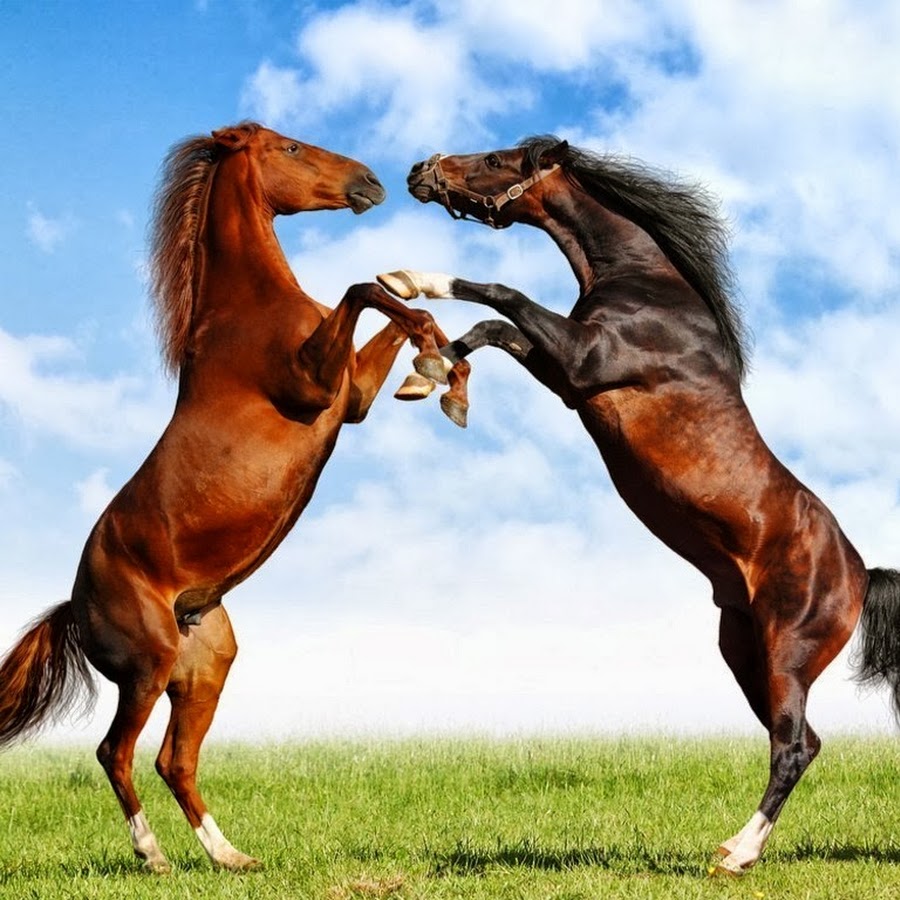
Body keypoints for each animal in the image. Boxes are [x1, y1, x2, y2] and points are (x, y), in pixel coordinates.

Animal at [0, 122, 470, 874]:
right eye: (292, 149)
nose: (371, 182)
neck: (246, 308)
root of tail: (74, 604)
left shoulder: (350, 400)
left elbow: (394, 309)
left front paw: (433, 369)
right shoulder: (314, 384)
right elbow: (361, 289)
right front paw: (434, 366)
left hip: (204, 669)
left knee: (173, 760)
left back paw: (229, 856)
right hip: (147, 666)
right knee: (115, 752)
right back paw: (154, 856)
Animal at [376, 136, 900, 875]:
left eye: (500, 158)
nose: (421, 171)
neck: (649, 291)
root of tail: (859, 574)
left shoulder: (584, 362)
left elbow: (501, 296)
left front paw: (409, 282)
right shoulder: (565, 375)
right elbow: (492, 329)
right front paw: (431, 379)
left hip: (789, 650)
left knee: (794, 746)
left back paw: (736, 854)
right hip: (744, 651)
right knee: (800, 741)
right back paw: (737, 848)